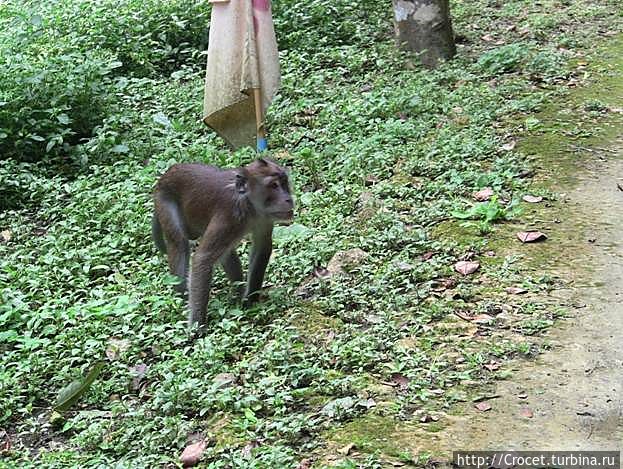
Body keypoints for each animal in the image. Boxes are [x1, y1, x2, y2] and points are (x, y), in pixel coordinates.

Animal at [152, 157, 296, 330]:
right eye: (273, 185)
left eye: (284, 183)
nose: (289, 198)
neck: (248, 205)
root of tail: (166, 175)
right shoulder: (228, 217)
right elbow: (202, 258)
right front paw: (197, 327)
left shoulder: (264, 217)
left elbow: (262, 246)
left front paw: (251, 300)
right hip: (164, 199)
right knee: (179, 244)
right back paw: (183, 298)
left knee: (227, 253)